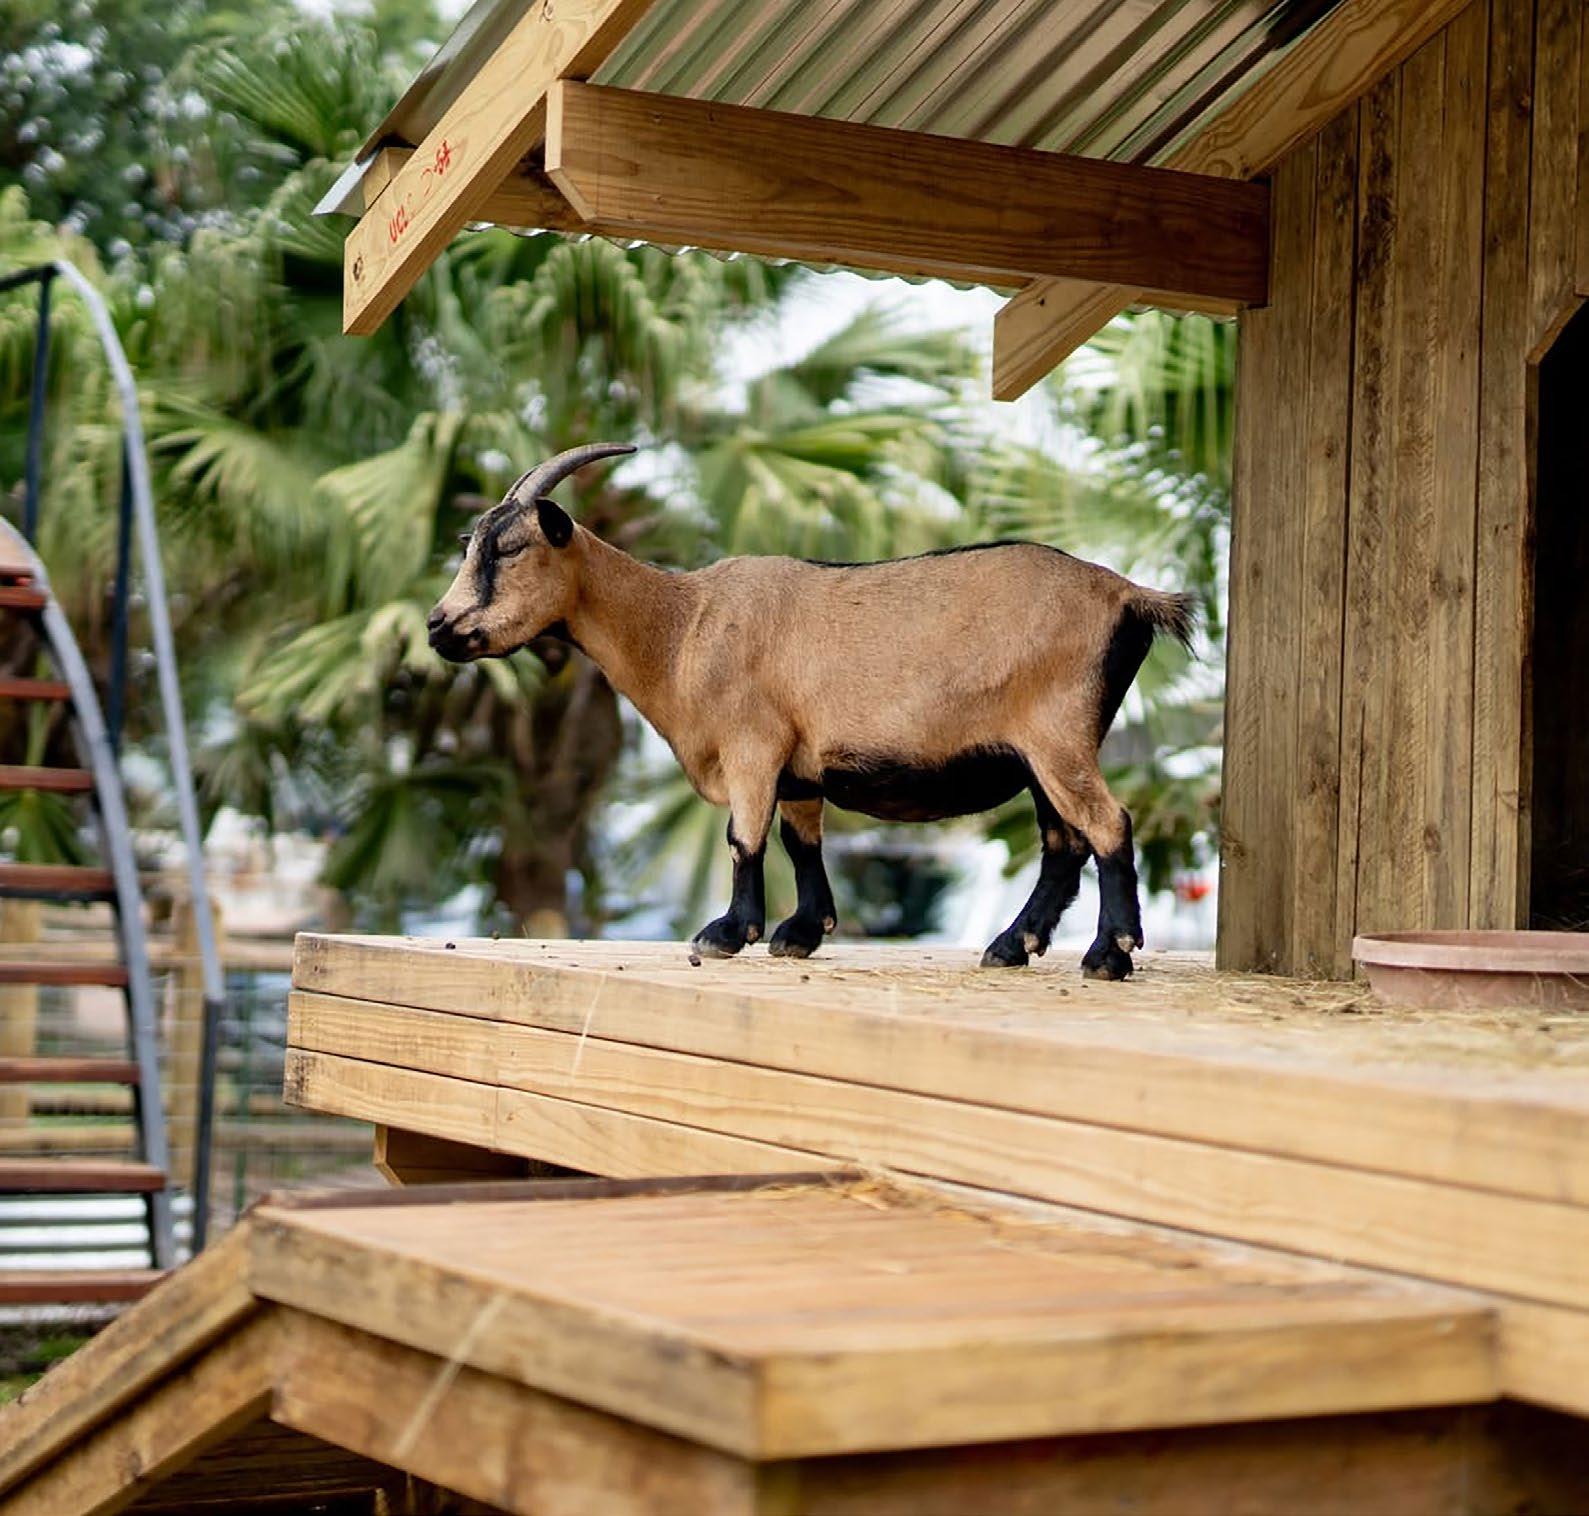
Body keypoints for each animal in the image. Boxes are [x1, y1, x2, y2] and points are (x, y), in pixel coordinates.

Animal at [429, 443, 1194, 978]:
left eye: (508, 547)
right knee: (1064, 842)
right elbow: (802, 842)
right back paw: (1011, 946)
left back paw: (1108, 955)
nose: (438, 628)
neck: (681, 625)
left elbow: (743, 838)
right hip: (1038, 753)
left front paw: (726, 933)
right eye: (472, 544)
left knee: (1108, 825)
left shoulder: (751, 745)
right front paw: (798, 933)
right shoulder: (798, 766)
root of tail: (1130, 597)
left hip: (1057, 734)